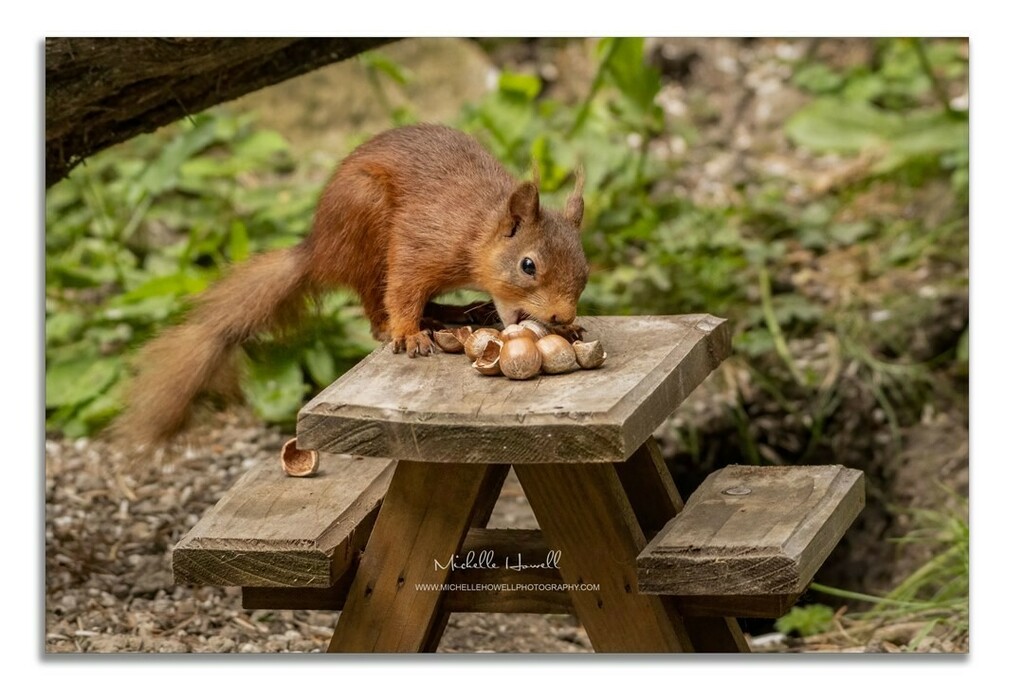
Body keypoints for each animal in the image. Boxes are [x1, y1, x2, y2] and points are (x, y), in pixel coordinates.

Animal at [111, 123, 590, 448]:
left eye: (585, 272)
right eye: (528, 265)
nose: (561, 314)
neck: (478, 230)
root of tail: (317, 249)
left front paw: (570, 330)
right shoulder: (421, 244)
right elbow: (403, 287)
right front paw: (407, 332)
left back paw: (449, 314)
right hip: (365, 221)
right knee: (375, 306)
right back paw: (411, 326)